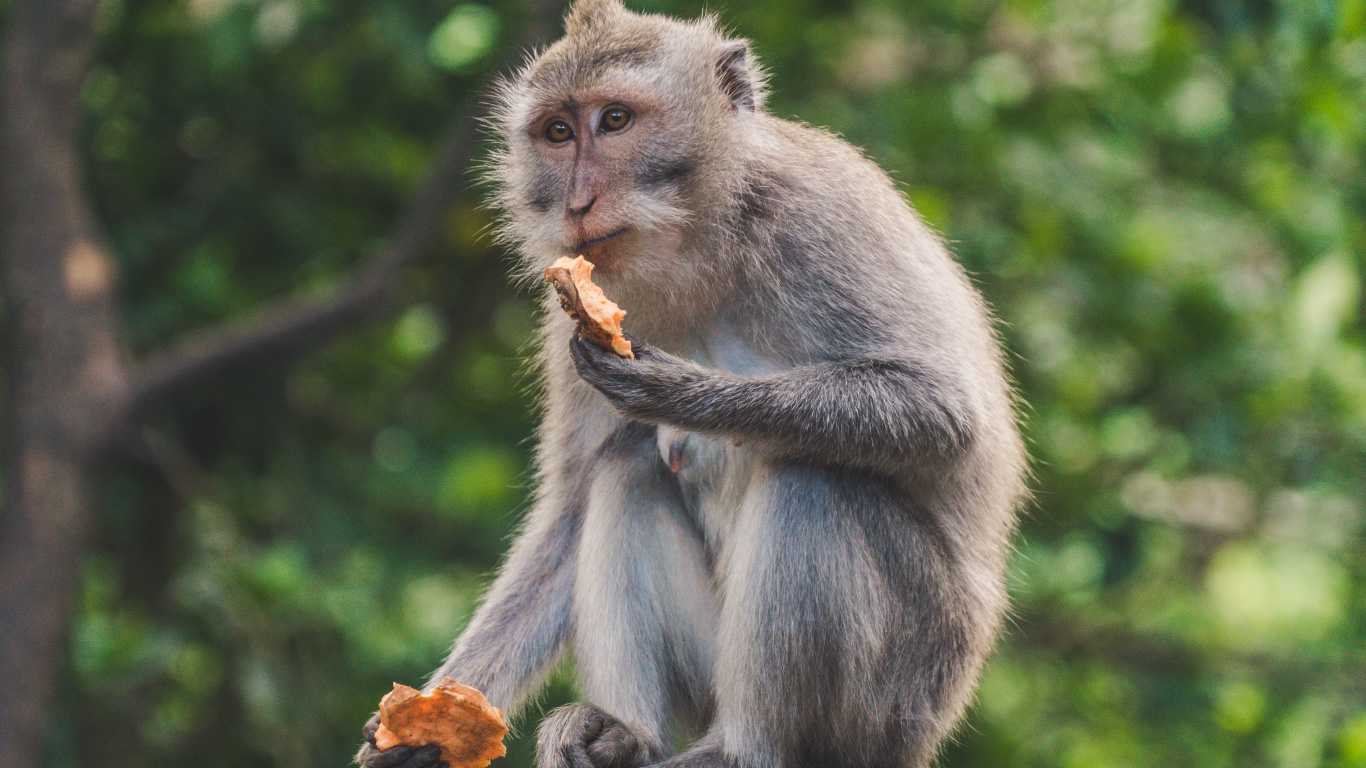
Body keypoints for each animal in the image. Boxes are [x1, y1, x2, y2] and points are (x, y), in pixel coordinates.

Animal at [357, 1, 1021, 765]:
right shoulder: (571, 308)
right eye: (558, 132)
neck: (700, 243)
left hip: (897, 697)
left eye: (615, 120)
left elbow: (942, 410)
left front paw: (676, 391)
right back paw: (627, 734)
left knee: (813, 478)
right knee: (627, 466)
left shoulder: (819, 217)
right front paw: (427, 727)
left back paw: (740, 748)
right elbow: (569, 514)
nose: (578, 201)